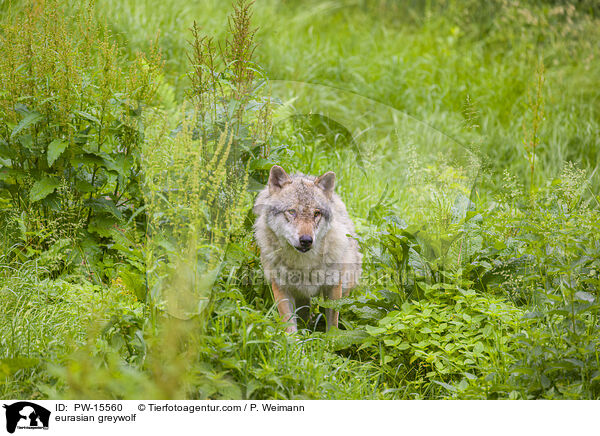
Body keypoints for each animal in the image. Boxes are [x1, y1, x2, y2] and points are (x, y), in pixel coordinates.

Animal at [252, 165, 360, 332]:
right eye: (292, 212)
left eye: (316, 213)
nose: (306, 240)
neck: (303, 263)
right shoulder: (281, 288)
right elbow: (289, 326)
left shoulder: (333, 287)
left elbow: (332, 325)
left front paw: (333, 337)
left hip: (346, 283)